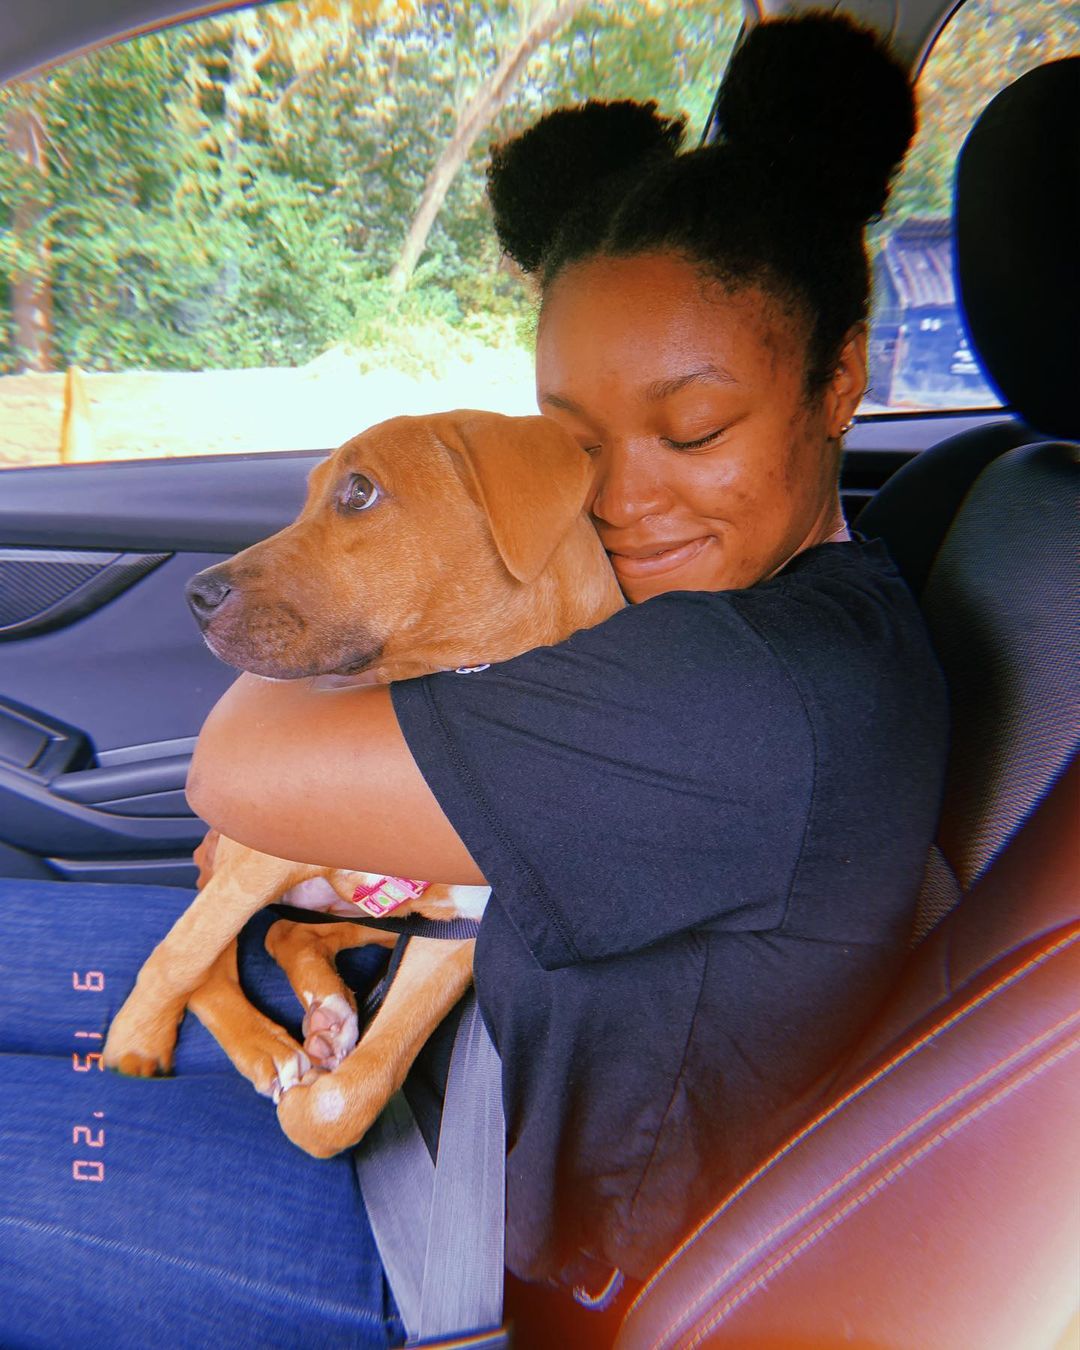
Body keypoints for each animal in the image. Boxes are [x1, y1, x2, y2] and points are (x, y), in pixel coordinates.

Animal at [103, 410, 623, 1161]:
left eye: (358, 492)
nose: (194, 597)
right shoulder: (267, 848)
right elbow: (181, 955)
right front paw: (132, 1043)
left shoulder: (462, 936)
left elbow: (348, 1104)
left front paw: (321, 1092)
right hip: (246, 853)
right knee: (217, 945)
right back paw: (263, 1042)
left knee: (286, 934)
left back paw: (325, 1011)